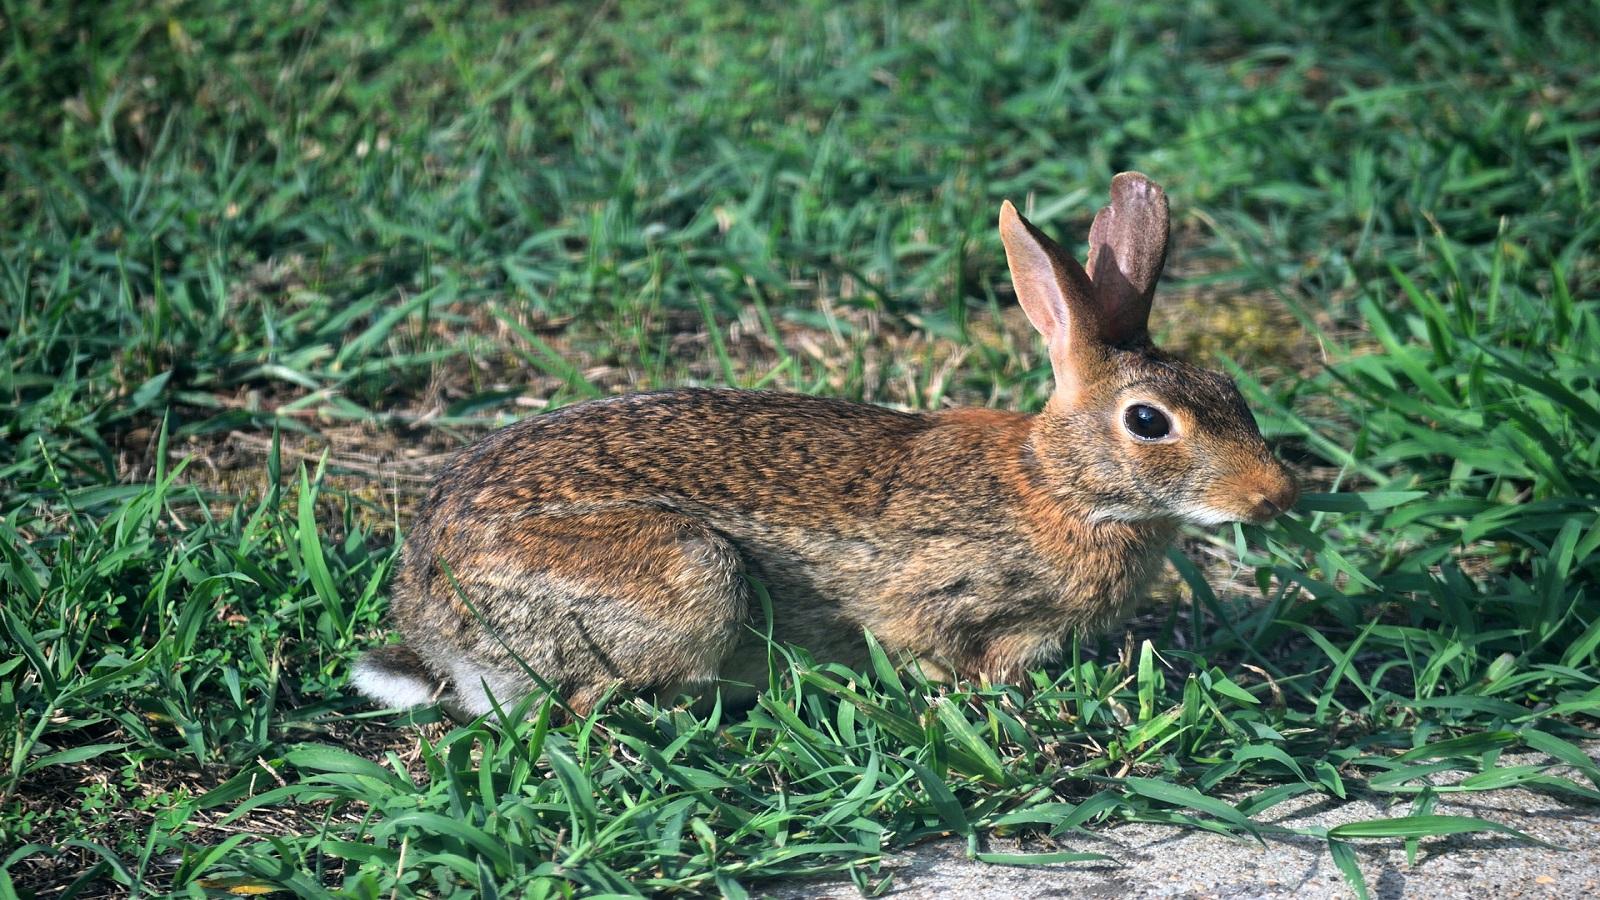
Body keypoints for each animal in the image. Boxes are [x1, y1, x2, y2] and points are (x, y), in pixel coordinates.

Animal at [351, 172, 1299, 717]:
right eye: (1149, 422)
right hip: (690, 576)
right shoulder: (943, 597)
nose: (1276, 495)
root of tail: (435, 627)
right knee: (583, 699)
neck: (1061, 486)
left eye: (1229, 388)